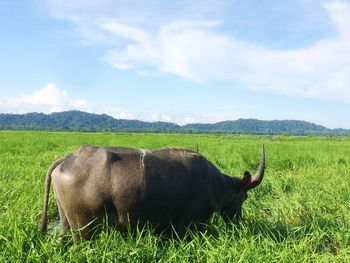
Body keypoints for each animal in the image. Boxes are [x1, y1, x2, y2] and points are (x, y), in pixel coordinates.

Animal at [39, 145, 266, 240]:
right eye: (244, 197)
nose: (239, 221)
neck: (213, 184)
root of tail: (70, 157)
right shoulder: (191, 225)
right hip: (84, 227)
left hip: (66, 221)